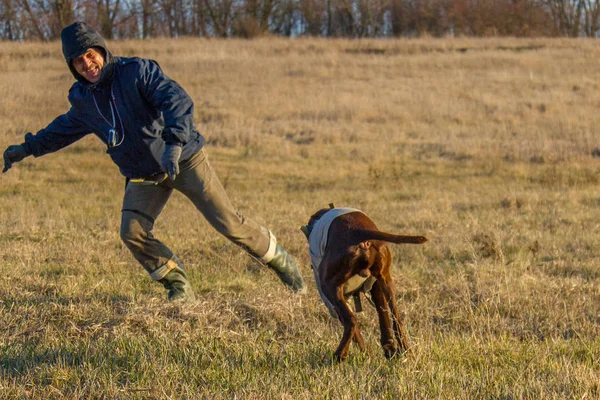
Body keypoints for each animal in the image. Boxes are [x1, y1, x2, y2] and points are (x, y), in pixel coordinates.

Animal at [300, 205, 426, 360]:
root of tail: (359, 232)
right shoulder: (376, 287)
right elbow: (384, 317)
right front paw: (387, 350)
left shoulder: (334, 300)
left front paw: (366, 353)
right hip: (386, 281)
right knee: (396, 319)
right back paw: (403, 350)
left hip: (329, 286)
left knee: (351, 321)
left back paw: (339, 355)